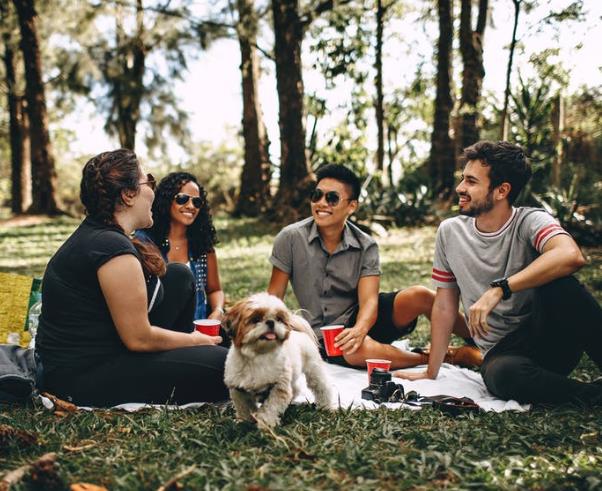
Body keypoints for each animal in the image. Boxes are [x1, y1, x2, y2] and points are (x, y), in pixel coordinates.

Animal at [223, 294, 332, 428]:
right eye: (256, 319)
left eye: (279, 319)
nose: (271, 322)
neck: (258, 355)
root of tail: (298, 332)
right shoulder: (238, 388)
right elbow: (244, 406)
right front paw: (245, 421)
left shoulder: (279, 386)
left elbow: (271, 407)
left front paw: (265, 423)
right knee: (295, 389)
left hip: (313, 369)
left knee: (322, 387)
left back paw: (326, 406)